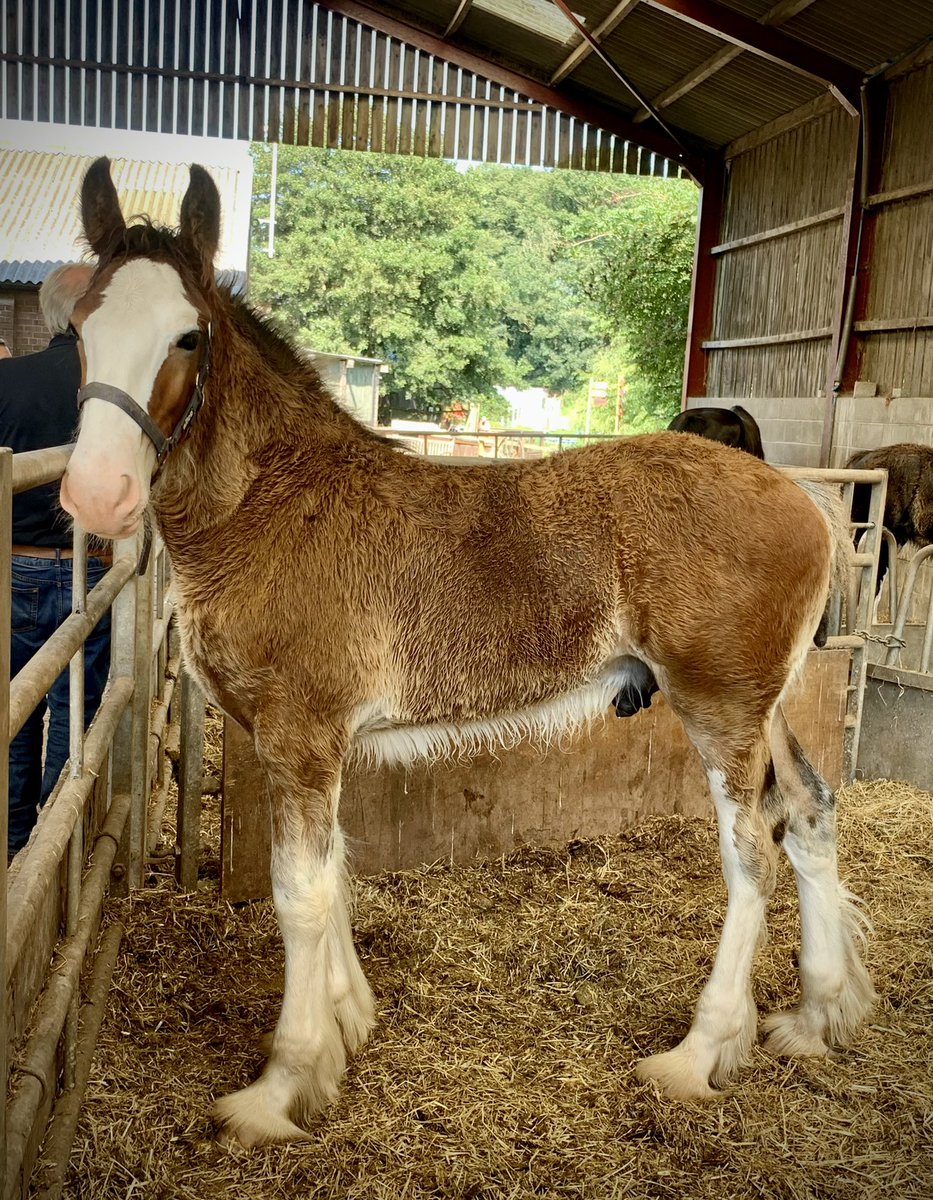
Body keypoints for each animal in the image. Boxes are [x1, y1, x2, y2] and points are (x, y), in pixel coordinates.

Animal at [60, 158, 875, 1148]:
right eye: (78, 329)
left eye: (186, 334)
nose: (96, 493)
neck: (275, 502)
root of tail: (803, 497)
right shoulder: (320, 746)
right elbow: (335, 867)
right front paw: (348, 1024)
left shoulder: (300, 738)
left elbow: (300, 892)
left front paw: (283, 1083)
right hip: (770, 706)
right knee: (810, 811)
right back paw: (816, 1015)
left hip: (718, 708)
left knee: (750, 850)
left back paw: (697, 1053)